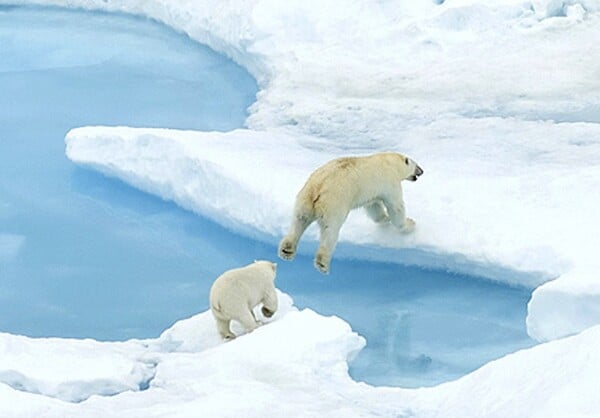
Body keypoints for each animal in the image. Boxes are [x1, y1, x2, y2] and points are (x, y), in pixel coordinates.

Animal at [278, 153, 422, 274]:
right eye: (416, 165)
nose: (422, 171)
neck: (389, 160)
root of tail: (319, 188)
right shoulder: (389, 181)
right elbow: (395, 206)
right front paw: (410, 224)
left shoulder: (371, 191)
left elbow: (374, 206)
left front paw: (385, 218)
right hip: (334, 204)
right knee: (330, 231)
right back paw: (323, 264)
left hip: (304, 198)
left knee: (299, 220)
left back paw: (286, 250)